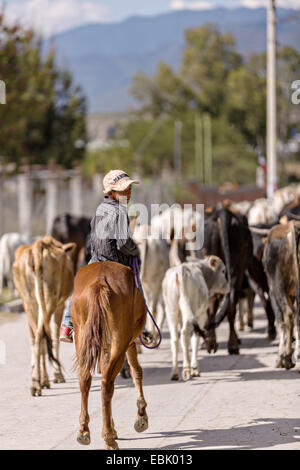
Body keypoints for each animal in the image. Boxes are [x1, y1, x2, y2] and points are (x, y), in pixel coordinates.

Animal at [12, 235, 76, 396]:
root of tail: (38, 246)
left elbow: (35, 337)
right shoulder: (60, 305)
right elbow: (55, 338)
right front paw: (57, 375)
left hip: (29, 299)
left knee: (37, 336)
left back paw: (37, 382)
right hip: (49, 298)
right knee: (43, 335)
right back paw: (41, 381)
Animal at [71, 262, 149, 450]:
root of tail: (99, 282)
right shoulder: (131, 342)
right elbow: (136, 371)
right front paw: (141, 416)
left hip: (82, 335)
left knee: (85, 379)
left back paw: (84, 431)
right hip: (120, 341)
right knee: (107, 383)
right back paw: (109, 439)